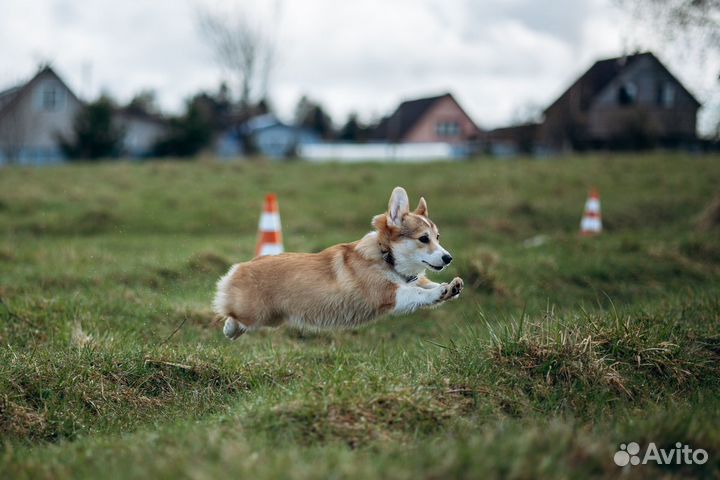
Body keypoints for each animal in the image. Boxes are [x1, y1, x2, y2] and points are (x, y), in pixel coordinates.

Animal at [211, 186, 464, 340]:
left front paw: (451, 287)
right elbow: (417, 294)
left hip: (272, 318)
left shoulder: (411, 282)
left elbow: (426, 286)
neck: (386, 257)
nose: (448, 258)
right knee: (231, 315)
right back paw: (228, 327)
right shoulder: (386, 294)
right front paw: (439, 292)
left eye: (438, 237)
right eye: (423, 239)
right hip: (255, 312)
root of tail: (240, 267)